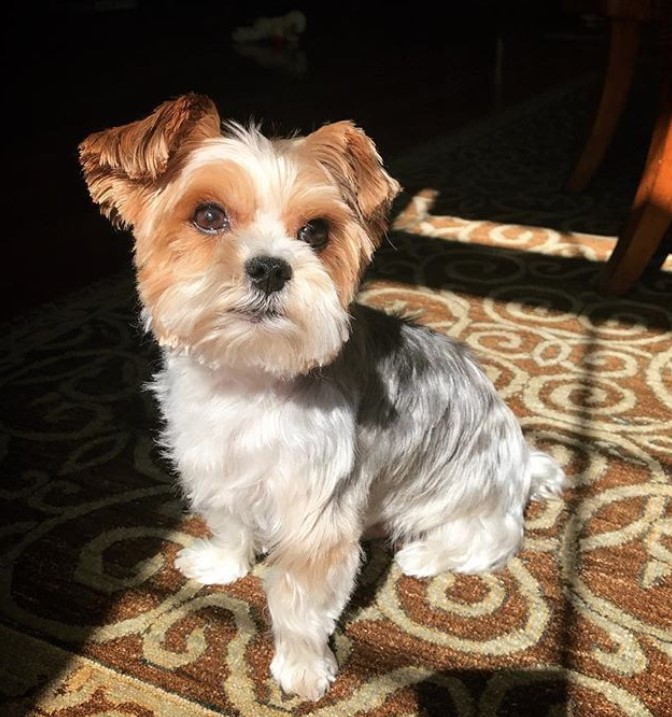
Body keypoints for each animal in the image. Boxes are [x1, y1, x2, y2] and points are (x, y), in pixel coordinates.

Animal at [79, 93, 568, 700]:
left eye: (315, 231)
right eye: (208, 215)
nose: (270, 267)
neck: (250, 380)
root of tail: (522, 458)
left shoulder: (318, 513)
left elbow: (300, 603)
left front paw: (302, 667)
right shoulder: (213, 468)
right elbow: (230, 524)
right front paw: (222, 563)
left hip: (466, 503)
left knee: (486, 539)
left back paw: (422, 554)